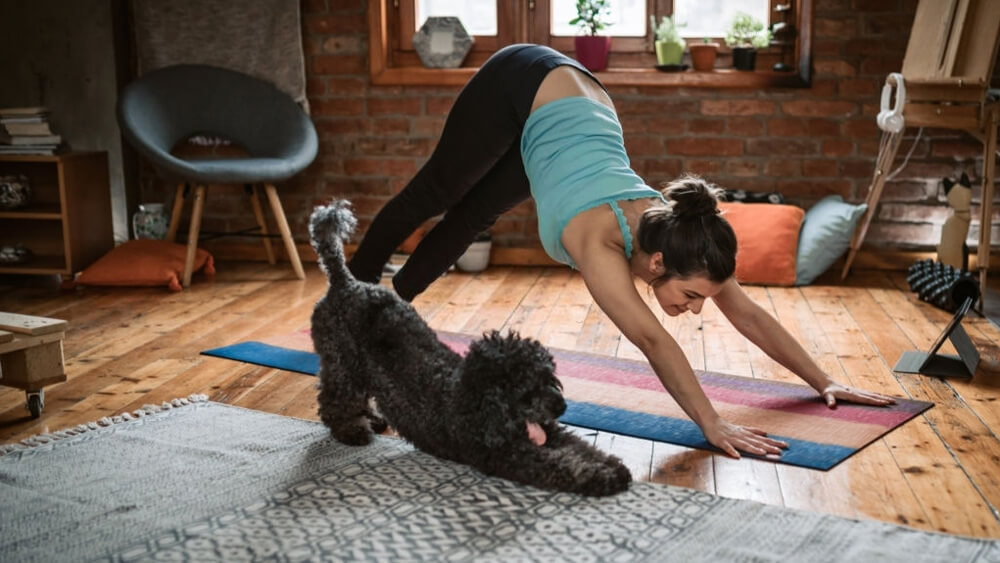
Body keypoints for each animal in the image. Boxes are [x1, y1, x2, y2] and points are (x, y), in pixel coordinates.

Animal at [308, 199, 628, 498]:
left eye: (550, 378)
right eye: (526, 388)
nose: (561, 406)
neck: (475, 399)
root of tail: (344, 282)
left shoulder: (549, 431)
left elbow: (580, 446)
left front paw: (611, 464)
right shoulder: (509, 455)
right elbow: (561, 465)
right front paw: (602, 477)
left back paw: (372, 419)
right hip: (341, 363)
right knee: (333, 401)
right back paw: (352, 430)